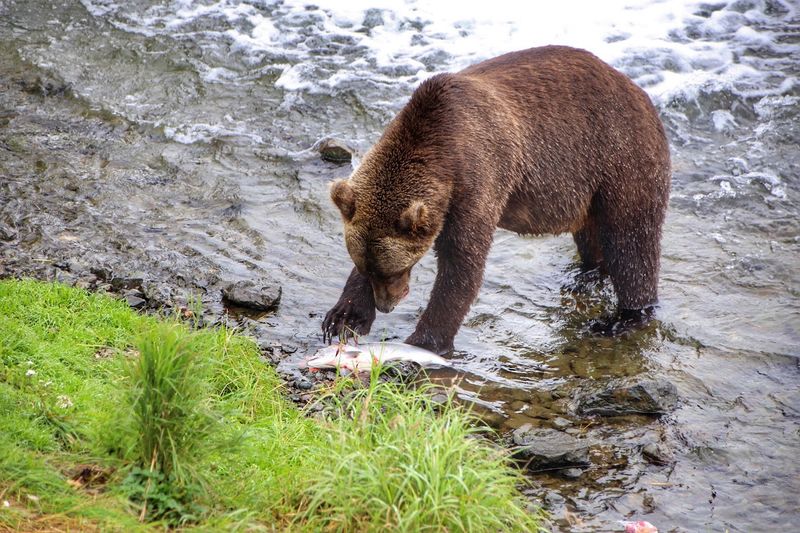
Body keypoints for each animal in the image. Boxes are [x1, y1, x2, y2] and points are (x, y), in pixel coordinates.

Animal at [322, 45, 671, 355]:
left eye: (396, 270)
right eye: (371, 270)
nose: (387, 305)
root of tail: (640, 92)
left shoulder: (477, 178)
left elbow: (462, 263)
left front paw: (425, 341)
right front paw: (343, 317)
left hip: (620, 156)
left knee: (631, 241)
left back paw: (623, 318)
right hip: (589, 189)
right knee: (593, 237)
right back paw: (586, 273)